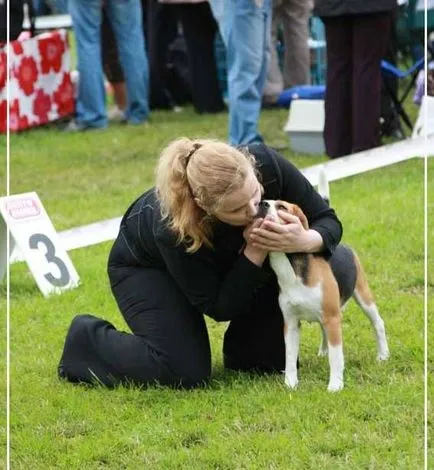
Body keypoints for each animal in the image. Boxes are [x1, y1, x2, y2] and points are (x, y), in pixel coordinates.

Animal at [258, 189, 390, 392]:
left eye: (282, 207)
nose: (261, 204)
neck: (291, 270)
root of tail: (342, 245)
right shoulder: (291, 323)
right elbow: (289, 357)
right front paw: (290, 383)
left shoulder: (333, 318)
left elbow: (336, 357)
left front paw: (335, 385)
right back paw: (323, 351)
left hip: (363, 296)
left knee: (378, 323)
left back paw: (383, 355)